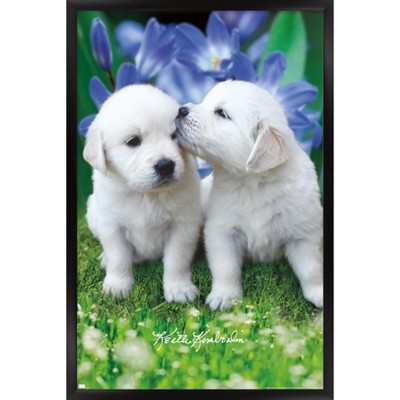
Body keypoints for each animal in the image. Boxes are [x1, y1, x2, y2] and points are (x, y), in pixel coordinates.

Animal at [83, 84, 202, 302]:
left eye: (174, 136)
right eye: (133, 141)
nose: (166, 165)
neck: (147, 194)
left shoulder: (183, 226)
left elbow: (177, 259)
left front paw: (179, 288)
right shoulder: (111, 226)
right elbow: (118, 257)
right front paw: (117, 285)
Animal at [176, 80, 323, 310]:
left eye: (222, 113)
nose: (181, 110)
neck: (253, 183)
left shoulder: (304, 233)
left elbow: (311, 268)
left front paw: (319, 292)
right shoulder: (221, 231)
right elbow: (226, 267)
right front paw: (225, 296)